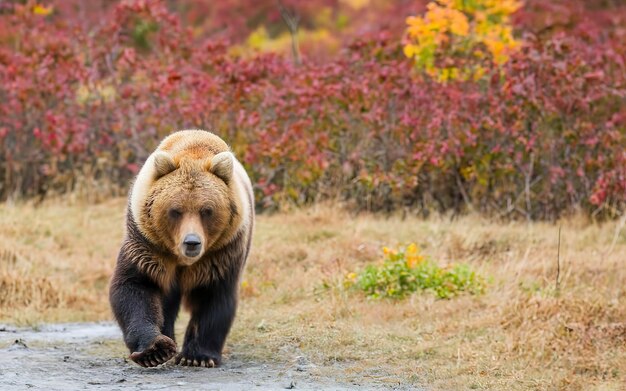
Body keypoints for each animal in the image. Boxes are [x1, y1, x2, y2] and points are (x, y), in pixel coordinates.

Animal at [109, 130, 254, 370]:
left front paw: (197, 356)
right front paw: (155, 350)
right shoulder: (147, 244)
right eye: (175, 210)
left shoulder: (221, 253)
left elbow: (214, 297)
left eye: (207, 210)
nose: (192, 242)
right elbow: (135, 287)